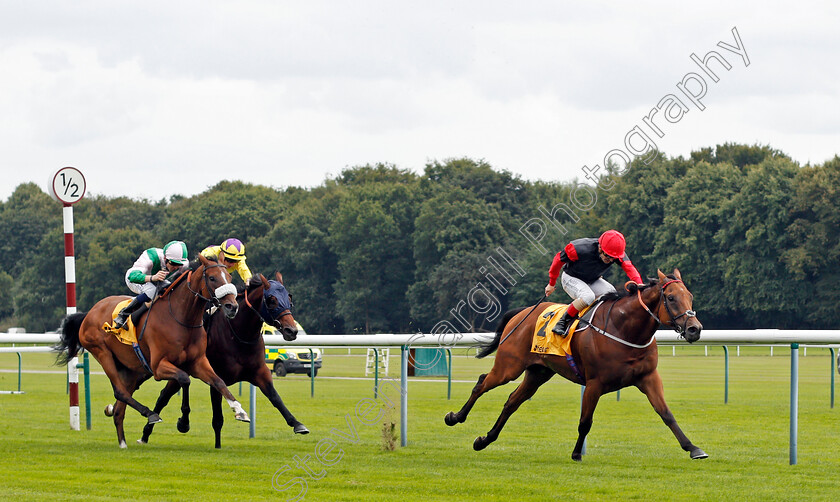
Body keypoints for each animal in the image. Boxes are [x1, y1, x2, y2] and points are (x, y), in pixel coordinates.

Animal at [57, 255, 249, 448]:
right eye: (212, 278)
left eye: (229, 277)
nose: (232, 306)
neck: (181, 318)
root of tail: (89, 313)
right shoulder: (158, 367)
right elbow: (184, 379)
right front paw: (183, 422)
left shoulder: (198, 362)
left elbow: (218, 381)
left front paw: (239, 410)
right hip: (102, 353)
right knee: (120, 392)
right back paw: (150, 414)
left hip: (129, 368)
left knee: (119, 408)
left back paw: (123, 443)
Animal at [139, 272, 310, 450]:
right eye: (271, 300)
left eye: (289, 299)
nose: (292, 330)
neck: (239, 335)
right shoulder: (216, 375)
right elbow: (218, 418)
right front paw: (218, 446)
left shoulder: (260, 372)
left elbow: (275, 397)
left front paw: (297, 424)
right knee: (164, 396)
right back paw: (149, 432)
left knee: (166, 393)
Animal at [446, 268, 708, 460]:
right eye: (671, 298)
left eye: (690, 296)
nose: (694, 329)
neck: (624, 329)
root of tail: (523, 312)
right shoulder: (594, 383)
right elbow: (585, 421)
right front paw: (576, 453)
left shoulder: (648, 377)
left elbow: (666, 414)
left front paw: (693, 448)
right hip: (509, 366)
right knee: (482, 384)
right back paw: (455, 417)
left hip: (538, 372)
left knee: (512, 401)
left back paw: (484, 440)